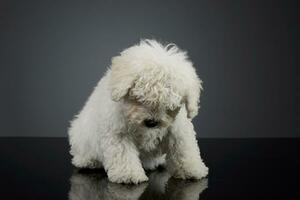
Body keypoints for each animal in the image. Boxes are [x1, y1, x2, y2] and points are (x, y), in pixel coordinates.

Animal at [68, 39, 209, 184]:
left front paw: (192, 169)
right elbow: (123, 153)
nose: (152, 122)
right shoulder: (118, 131)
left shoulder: (178, 128)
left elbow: (184, 148)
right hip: (81, 137)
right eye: (139, 99)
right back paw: (88, 161)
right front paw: (128, 175)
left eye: (169, 107)